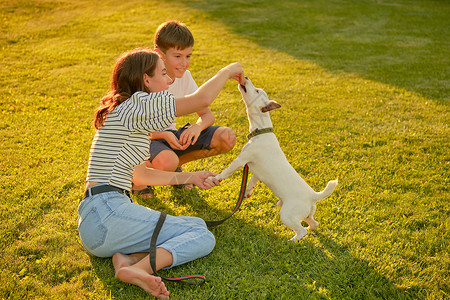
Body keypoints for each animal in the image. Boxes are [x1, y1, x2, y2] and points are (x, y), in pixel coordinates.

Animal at [215, 78, 338, 241]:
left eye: (257, 91)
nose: (245, 77)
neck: (261, 130)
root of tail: (312, 196)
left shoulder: (241, 160)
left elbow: (226, 171)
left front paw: (214, 178)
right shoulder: (254, 169)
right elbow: (252, 181)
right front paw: (247, 193)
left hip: (286, 215)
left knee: (301, 231)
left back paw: (291, 241)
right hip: (305, 214)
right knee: (313, 223)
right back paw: (308, 230)